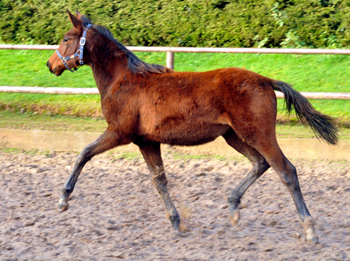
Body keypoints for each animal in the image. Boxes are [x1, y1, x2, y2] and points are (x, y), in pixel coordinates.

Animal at [47, 8, 338, 244]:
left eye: (66, 39)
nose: (50, 64)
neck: (123, 79)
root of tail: (265, 80)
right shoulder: (147, 141)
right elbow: (160, 181)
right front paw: (176, 223)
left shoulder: (119, 132)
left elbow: (84, 153)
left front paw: (63, 199)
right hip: (234, 136)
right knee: (260, 163)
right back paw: (233, 207)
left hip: (257, 133)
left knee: (286, 170)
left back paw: (309, 230)